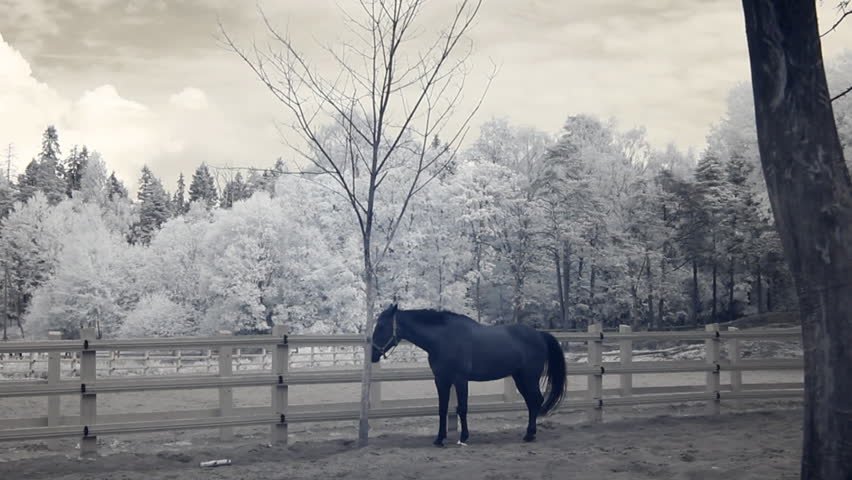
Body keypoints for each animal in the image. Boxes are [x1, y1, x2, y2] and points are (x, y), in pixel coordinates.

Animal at [370, 304, 567, 446]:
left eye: (381, 326)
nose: (373, 354)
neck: (443, 338)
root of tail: (539, 335)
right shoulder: (441, 380)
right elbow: (442, 409)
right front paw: (439, 439)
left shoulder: (460, 380)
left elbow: (462, 408)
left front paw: (463, 437)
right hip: (519, 378)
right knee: (532, 402)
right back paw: (529, 433)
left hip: (529, 377)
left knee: (536, 400)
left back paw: (530, 434)